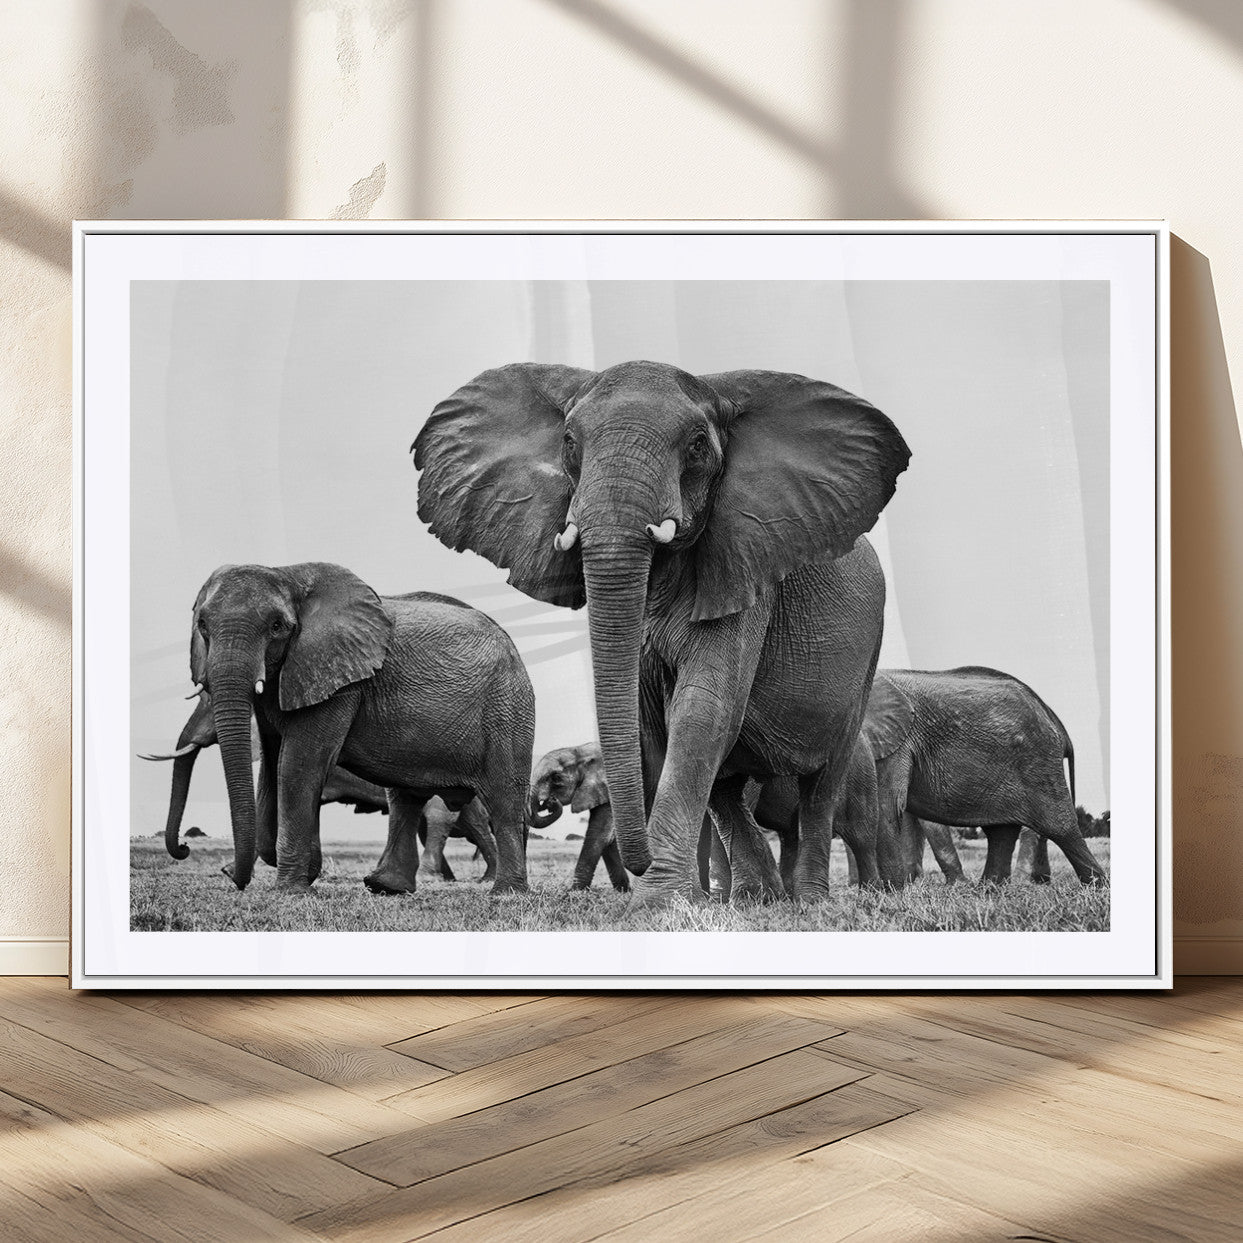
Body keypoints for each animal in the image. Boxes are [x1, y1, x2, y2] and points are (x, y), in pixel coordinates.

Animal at [143, 692, 499, 883]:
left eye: (208, 705)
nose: (184, 848)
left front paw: (230, 872)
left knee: (443, 820)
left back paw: (450, 877)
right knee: (463, 823)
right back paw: (470, 877)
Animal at [187, 562, 533, 893]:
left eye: (276, 626)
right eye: (202, 625)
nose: (238, 882)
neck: (288, 575)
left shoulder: (340, 681)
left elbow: (298, 766)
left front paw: (292, 891)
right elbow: (274, 765)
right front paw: (304, 871)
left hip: (507, 707)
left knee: (503, 799)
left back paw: (505, 892)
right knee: (404, 798)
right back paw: (385, 887)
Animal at [529, 741, 629, 891]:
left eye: (556, 778)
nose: (551, 801)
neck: (582, 752)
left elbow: (599, 834)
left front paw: (576, 890)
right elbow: (608, 839)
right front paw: (624, 890)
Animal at [862, 667, 1107, 885]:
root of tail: (1054, 719)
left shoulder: (897, 742)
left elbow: (887, 807)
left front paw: (891, 892)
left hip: (1039, 761)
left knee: (1061, 827)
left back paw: (1097, 888)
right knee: (1002, 832)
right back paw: (988, 889)